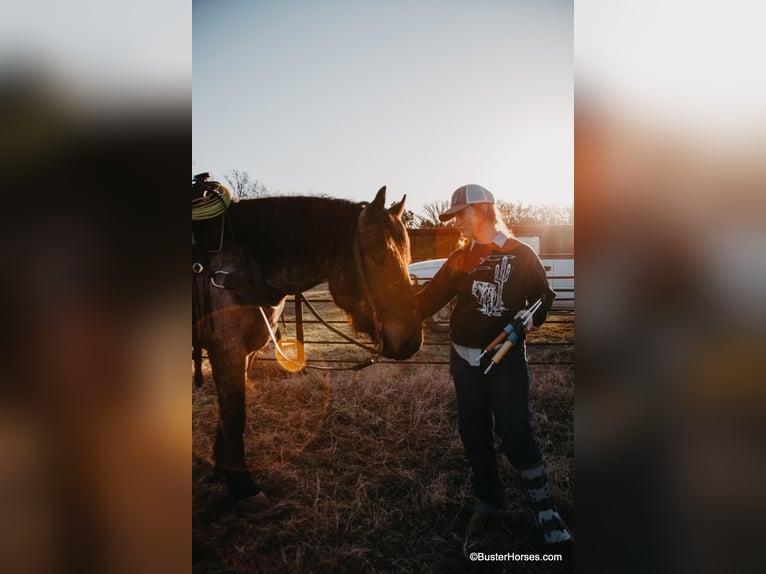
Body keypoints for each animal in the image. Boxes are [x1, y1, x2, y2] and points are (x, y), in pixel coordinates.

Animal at [190, 186, 420, 508]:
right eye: (380, 255)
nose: (412, 339)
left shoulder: (243, 356)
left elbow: (228, 414)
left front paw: (225, 467)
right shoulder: (228, 350)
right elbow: (235, 417)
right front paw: (243, 487)